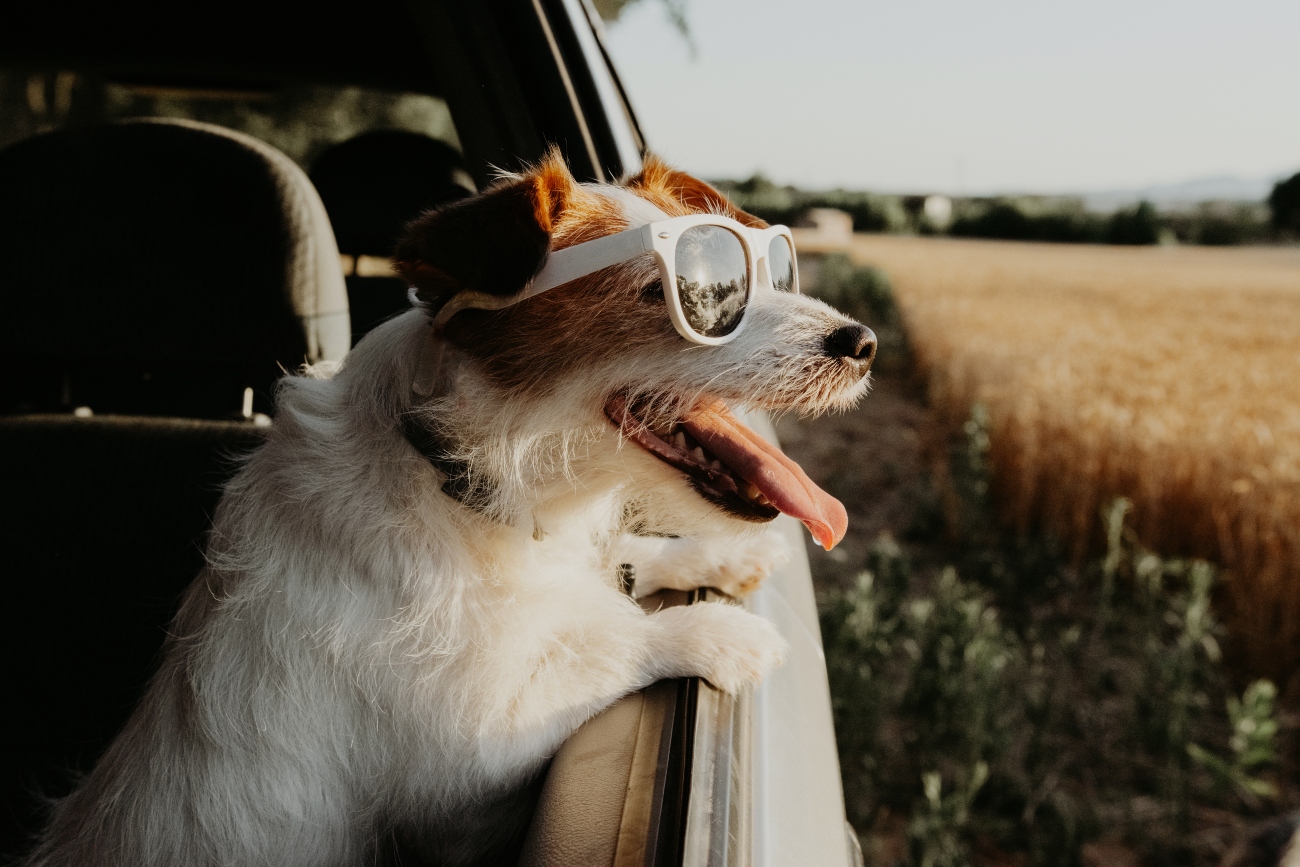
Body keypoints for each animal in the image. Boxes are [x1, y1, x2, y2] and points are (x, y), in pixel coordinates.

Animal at [25, 155, 873, 867]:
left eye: (771, 268)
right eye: (690, 293)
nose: (862, 342)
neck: (455, 473)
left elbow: (623, 561)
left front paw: (721, 558)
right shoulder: (473, 751)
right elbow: (607, 644)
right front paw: (715, 631)